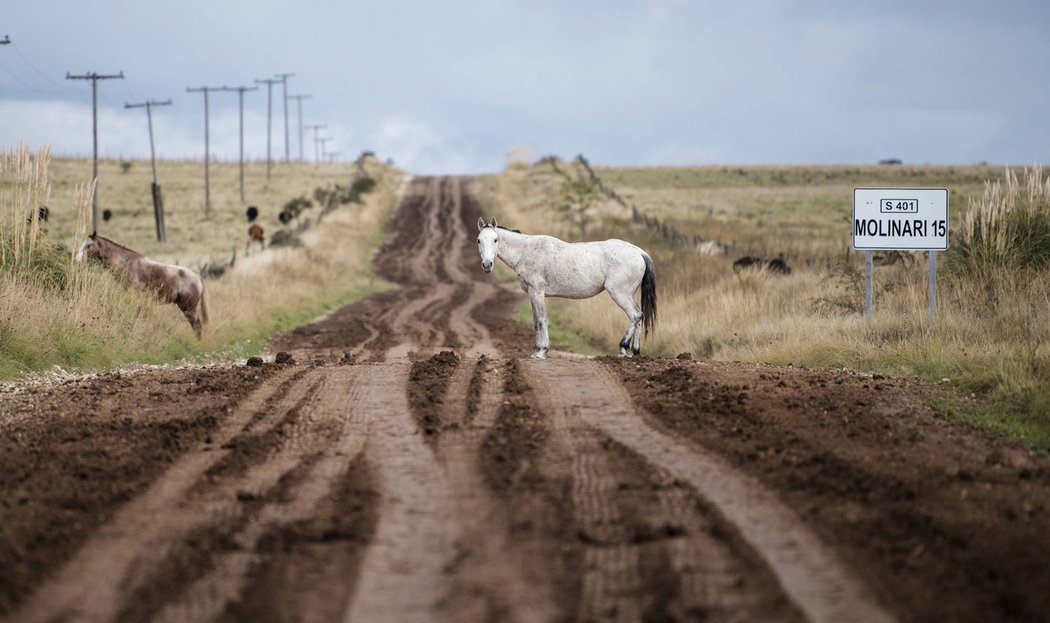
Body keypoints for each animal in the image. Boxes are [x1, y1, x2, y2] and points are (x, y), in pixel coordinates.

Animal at [76, 232, 208, 338]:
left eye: (88, 246)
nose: (77, 261)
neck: (126, 263)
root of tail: (198, 279)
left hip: (188, 309)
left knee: (197, 325)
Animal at [478, 216, 655, 357]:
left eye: (495, 240)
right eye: (479, 240)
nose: (487, 265)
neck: (525, 251)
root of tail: (640, 252)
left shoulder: (537, 292)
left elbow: (541, 319)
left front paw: (541, 351)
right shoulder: (532, 294)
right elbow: (536, 320)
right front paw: (537, 350)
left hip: (620, 294)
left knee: (635, 315)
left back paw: (623, 349)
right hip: (630, 294)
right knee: (640, 315)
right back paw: (635, 352)